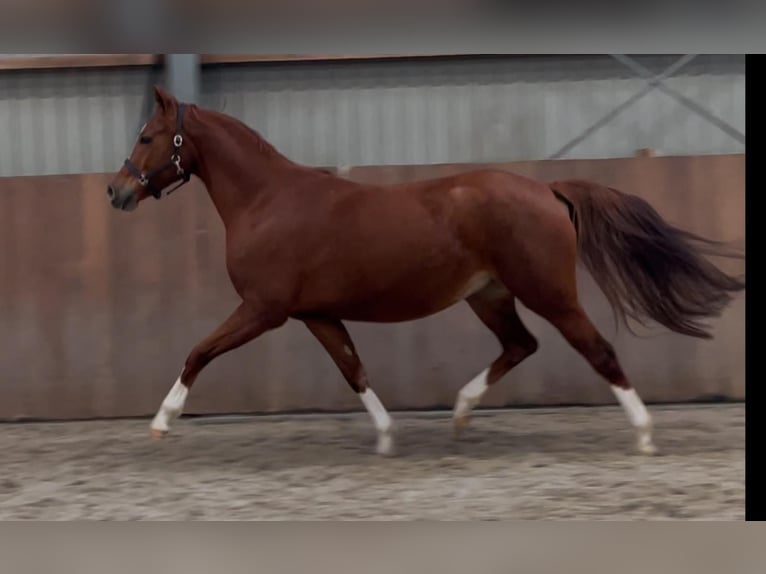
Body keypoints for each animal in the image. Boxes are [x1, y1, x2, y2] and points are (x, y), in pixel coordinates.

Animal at [106, 85, 744, 456]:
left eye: (147, 136)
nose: (116, 193)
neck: (268, 201)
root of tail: (546, 189)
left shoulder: (264, 310)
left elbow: (198, 351)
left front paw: (163, 421)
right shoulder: (316, 314)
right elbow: (354, 370)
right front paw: (388, 438)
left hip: (548, 292)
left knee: (598, 351)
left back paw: (644, 434)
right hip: (490, 295)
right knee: (521, 345)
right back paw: (461, 413)